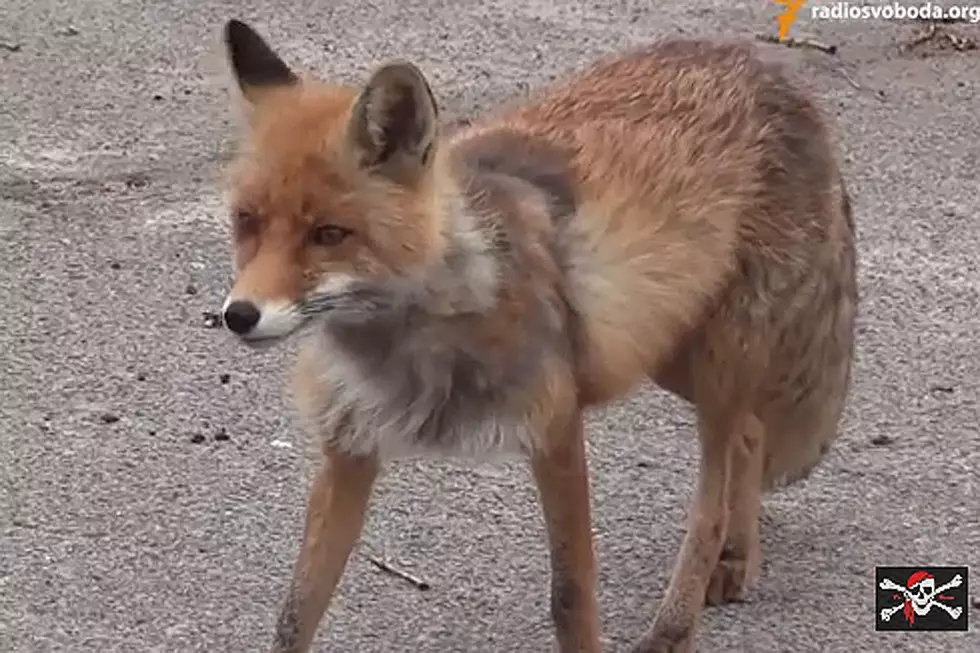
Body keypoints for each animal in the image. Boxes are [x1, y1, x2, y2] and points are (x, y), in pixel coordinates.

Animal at [216, 14, 856, 652]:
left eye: (329, 234)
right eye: (246, 222)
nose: (238, 315)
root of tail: (772, 68)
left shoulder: (556, 426)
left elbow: (571, 597)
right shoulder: (350, 445)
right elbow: (297, 610)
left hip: (712, 358)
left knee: (712, 499)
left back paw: (676, 623)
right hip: (661, 349)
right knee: (751, 432)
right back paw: (737, 559)